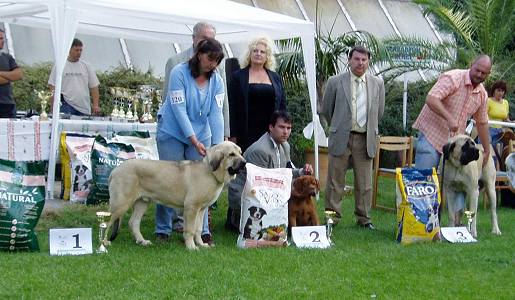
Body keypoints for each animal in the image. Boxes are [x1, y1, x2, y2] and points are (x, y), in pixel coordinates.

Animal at [106, 142, 246, 250]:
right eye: (231, 154)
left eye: (240, 152)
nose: (244, 163)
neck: (210, 172)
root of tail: (114, 170)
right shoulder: (191, 207)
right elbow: (190, 229)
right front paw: (191, 247)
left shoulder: (201, 209)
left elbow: (198, 229)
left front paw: (201, 244)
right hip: (121, 204)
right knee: (108, 221)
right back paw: (104, 243)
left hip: (142, 202)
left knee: (133, 222)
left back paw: (142, 241)